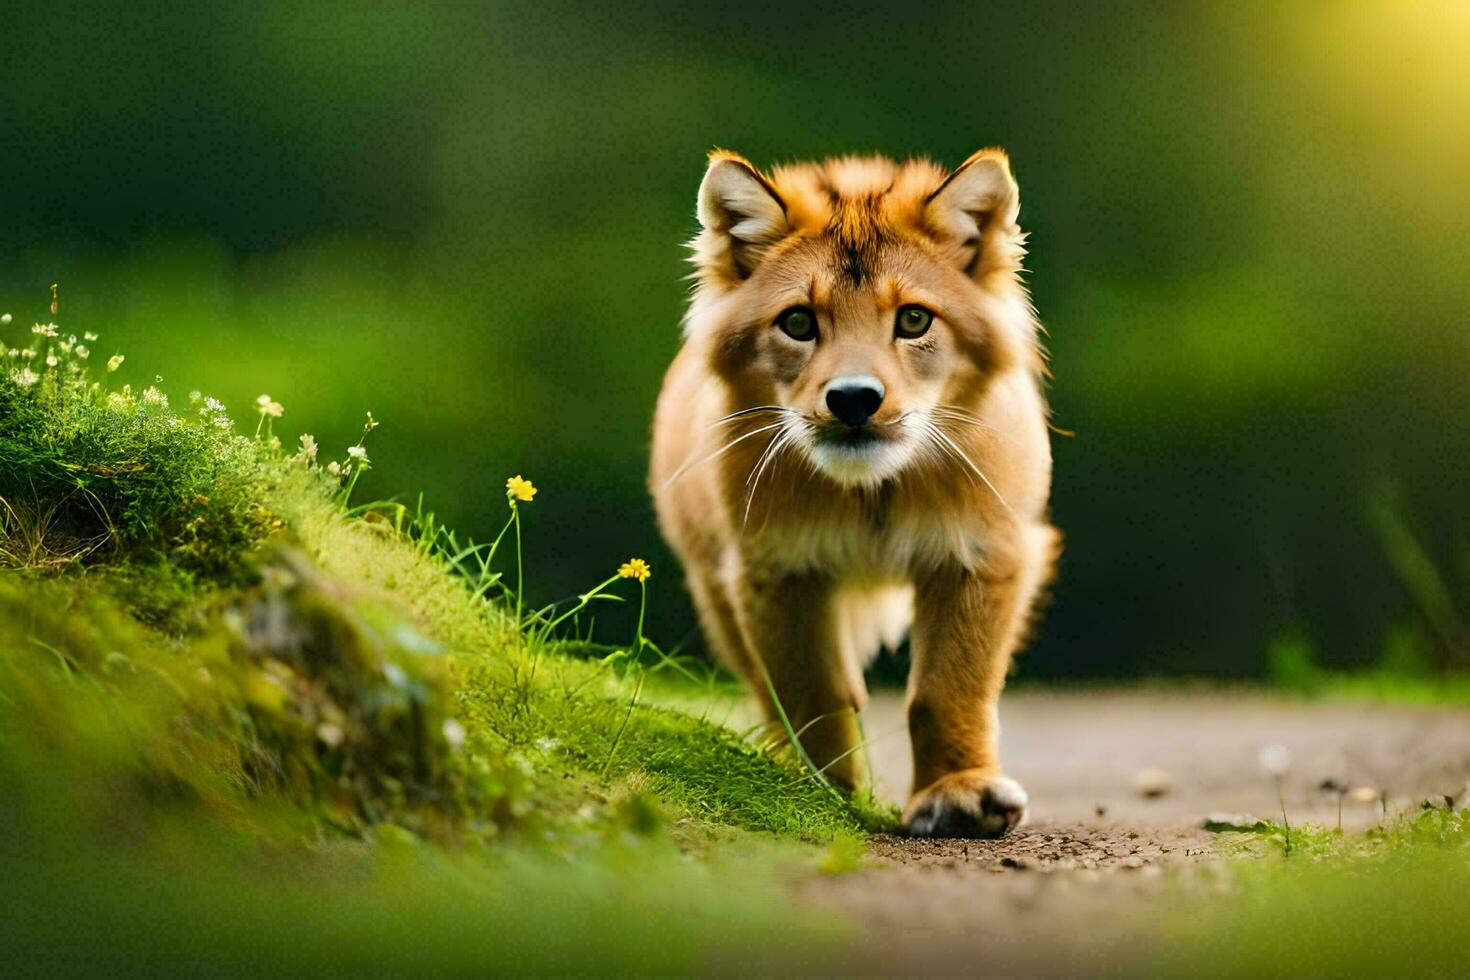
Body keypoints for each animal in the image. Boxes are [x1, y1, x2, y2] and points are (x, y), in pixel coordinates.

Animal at [646, 147, 1058, 834]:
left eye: (914, 319)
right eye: (798, 322)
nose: (855, 399)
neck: (872, 495)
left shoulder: (982, 552)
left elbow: (947, 690)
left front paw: (958, 795)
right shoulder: (775, 569)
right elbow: (812, 695)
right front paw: (821, 797)